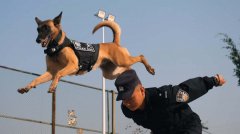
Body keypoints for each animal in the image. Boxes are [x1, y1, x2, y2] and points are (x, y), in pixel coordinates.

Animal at [17, 12, 155, 94]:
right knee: (130, 69)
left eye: (47, 28)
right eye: (38, 29)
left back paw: (150, 69)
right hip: (111, 73)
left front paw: (52, 86)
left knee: (141, 56)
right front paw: (26, 87)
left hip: (122, 60)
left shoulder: (72, 65)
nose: (37, 40)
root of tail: (114, 42)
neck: (56, 48)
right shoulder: (50, 72)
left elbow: (59, 74)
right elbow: (36, 79)